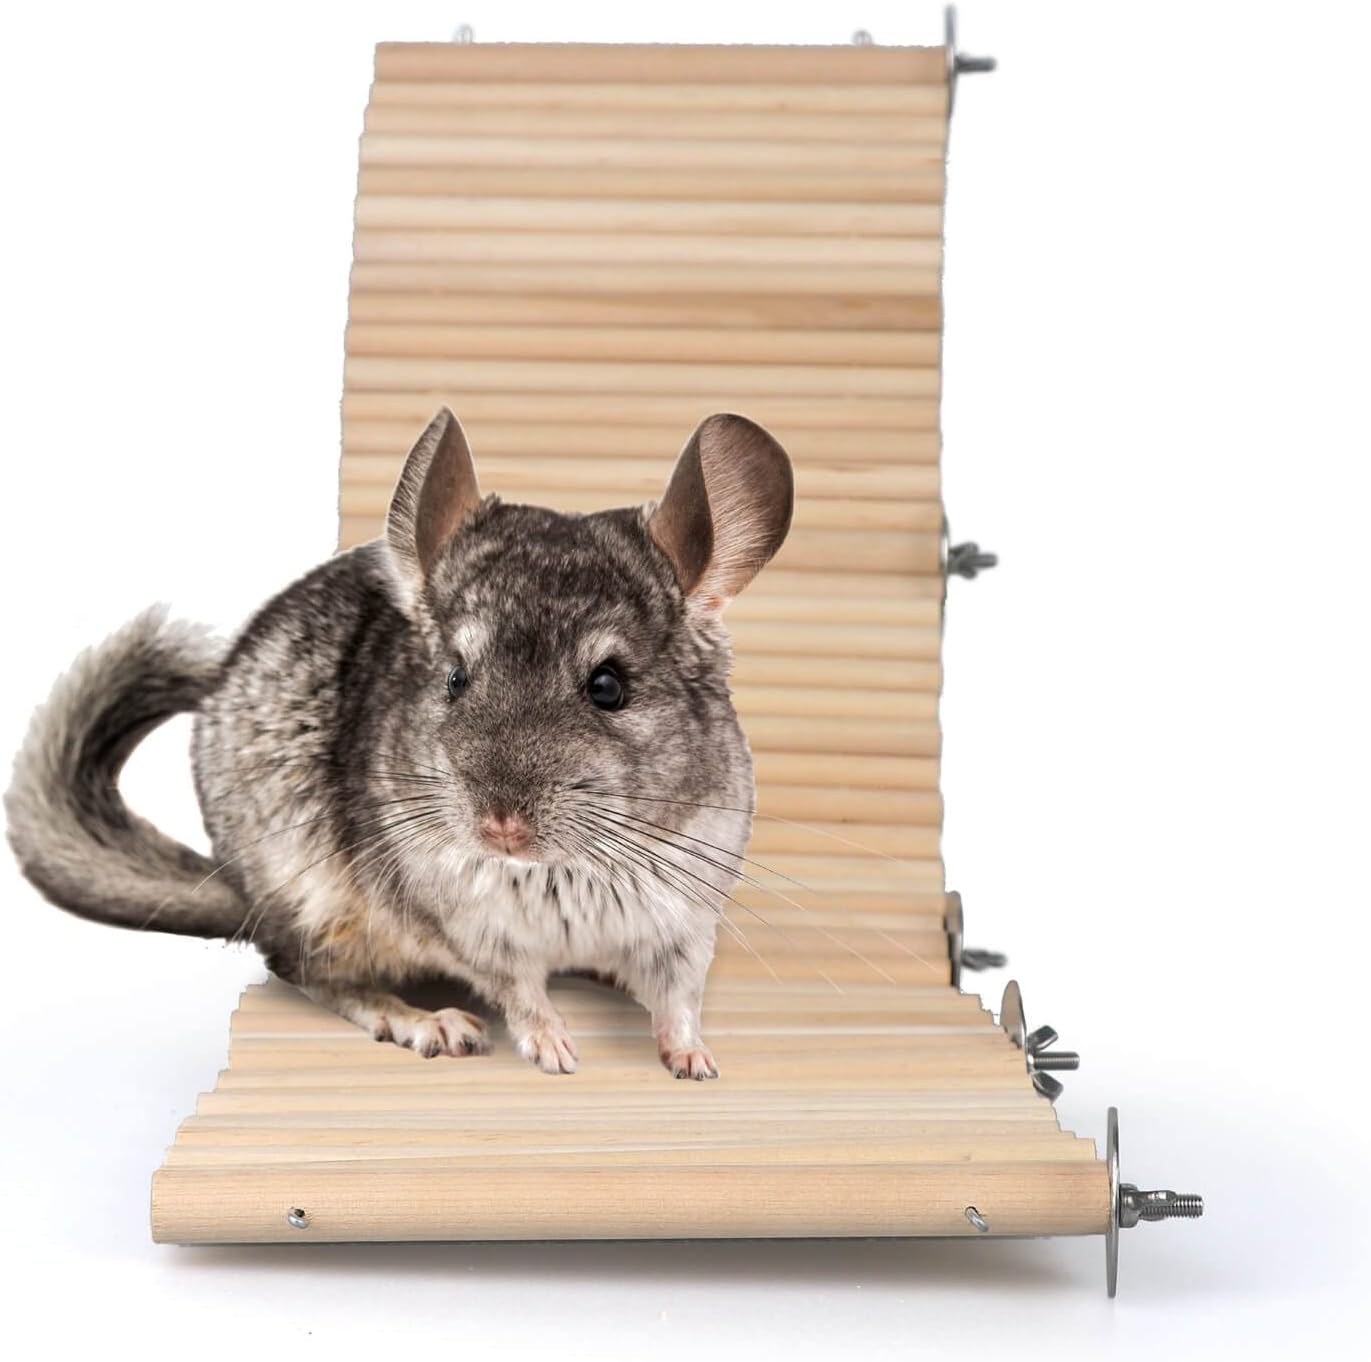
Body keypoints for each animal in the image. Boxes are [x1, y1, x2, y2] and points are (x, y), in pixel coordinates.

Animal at [5, 409, 793, 1078]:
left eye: (608, 686)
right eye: (454, 677)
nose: (500, 825)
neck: (568, 871)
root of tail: (238, 891)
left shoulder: (687, 915)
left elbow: (679, 995)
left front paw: (694, 1060)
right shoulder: (473, 928)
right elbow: (520, 990)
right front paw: (555, 1049)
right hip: (313, 904)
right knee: (307, 972)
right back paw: (428, 1021)